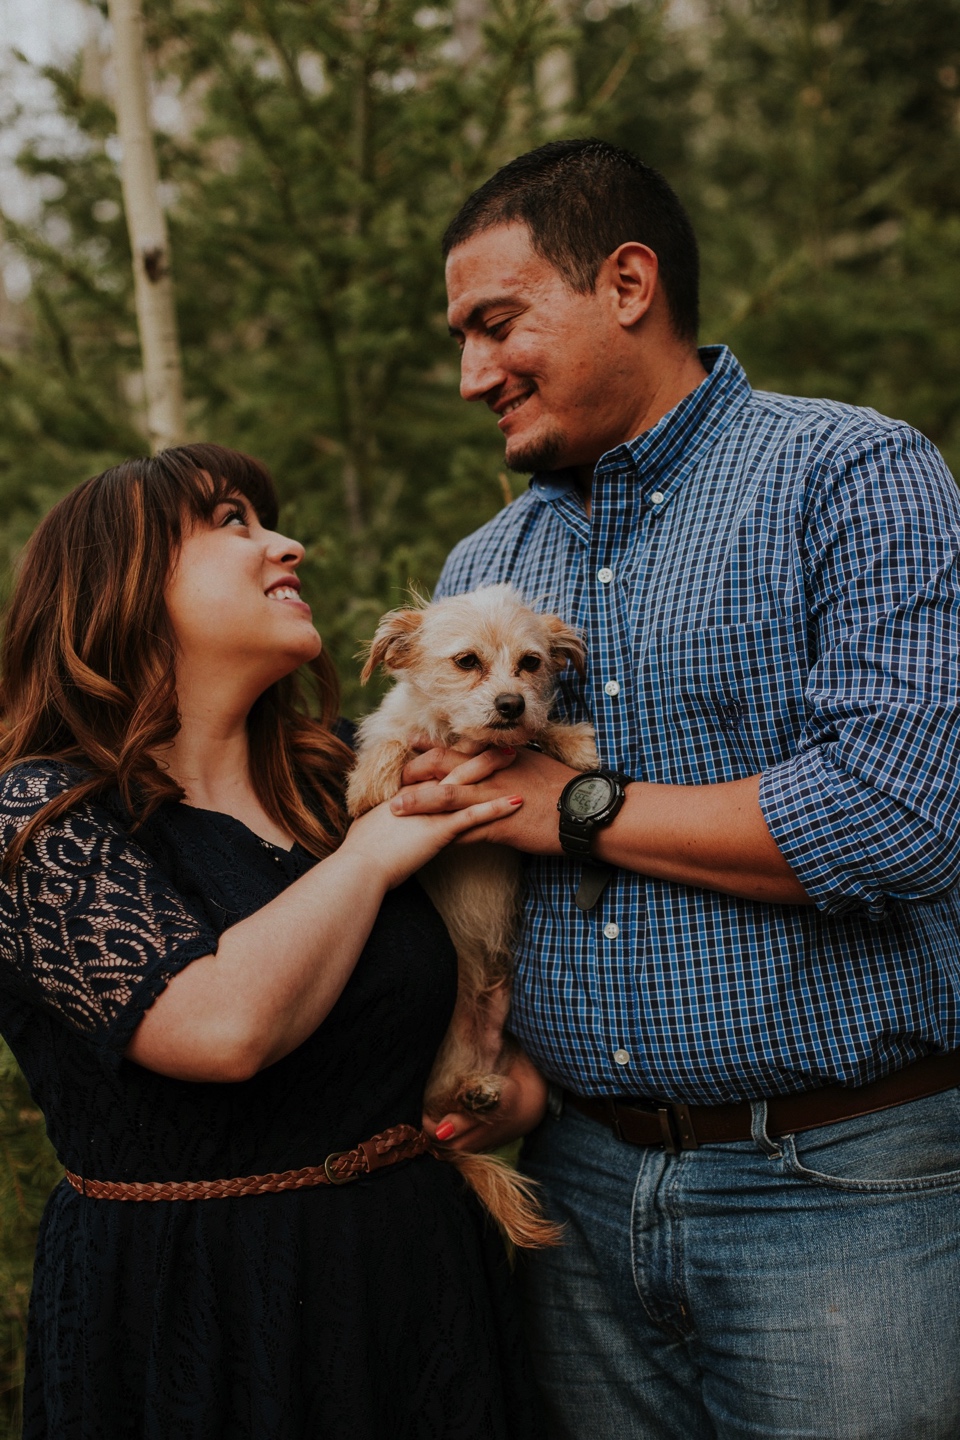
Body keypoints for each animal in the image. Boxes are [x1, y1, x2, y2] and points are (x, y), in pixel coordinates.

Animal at [349, 584, 595, 1249]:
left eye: (531, 664)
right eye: (466, 662)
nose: (511, 703)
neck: (463, 741)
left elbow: (541, 735)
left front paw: (570, 741)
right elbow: (392, 740)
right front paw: (371, 778)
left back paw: (482, 1091)